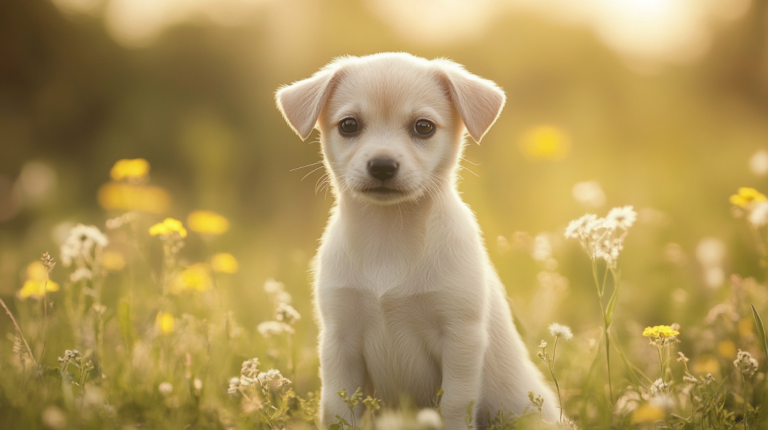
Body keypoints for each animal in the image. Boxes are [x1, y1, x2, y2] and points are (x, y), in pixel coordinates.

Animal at [276, 53, 560, 430]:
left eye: (423, 127)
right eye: (349, 125)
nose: (382, 165)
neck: (389, 235)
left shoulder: (461, 337)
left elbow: (454, 406)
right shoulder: (340, 338)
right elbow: (338, 408)